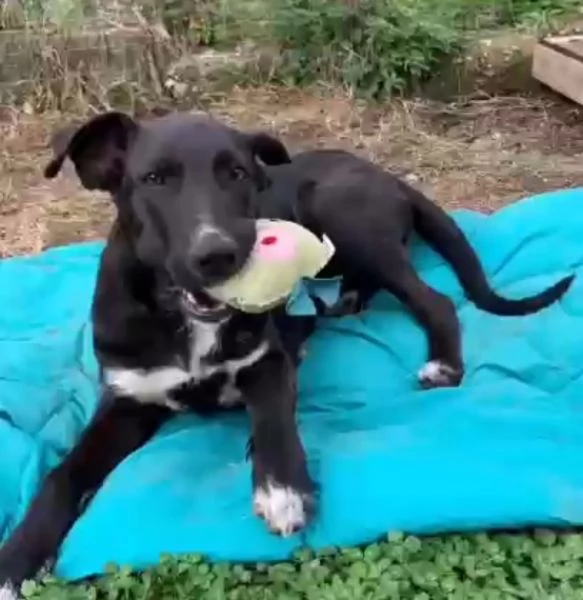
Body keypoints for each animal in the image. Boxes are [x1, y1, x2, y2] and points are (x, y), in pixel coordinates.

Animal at [0, 112, 576, 596]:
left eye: (236, 173)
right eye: (154, 180)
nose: (219, 256)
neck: (184, 320)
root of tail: (386, 174)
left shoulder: (269, 363)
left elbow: (275, 420)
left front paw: (283, 489)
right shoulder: (129, 398)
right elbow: (62, 473)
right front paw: (18, 558)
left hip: (340, 214)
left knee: (433, 300)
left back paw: (441, 363)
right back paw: (344, 301)